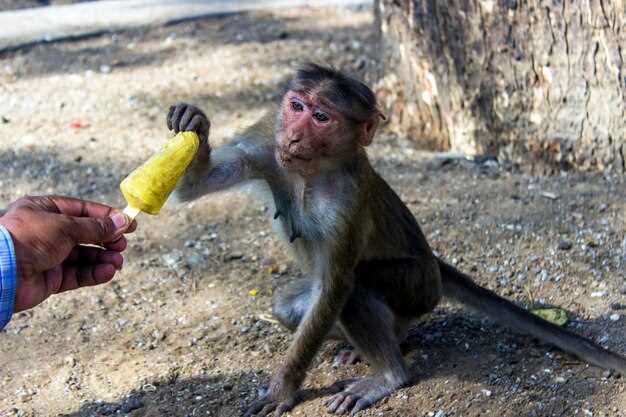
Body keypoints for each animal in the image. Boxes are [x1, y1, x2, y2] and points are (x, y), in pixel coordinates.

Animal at [165, 62, 624, 416]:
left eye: (321, 117)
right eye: (296, 107)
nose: (293, 136)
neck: (311, 173)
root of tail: (434, 263)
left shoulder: (346, 200)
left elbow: (337, 285)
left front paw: (284, 388)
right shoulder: (266, 139)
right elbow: (198, 186)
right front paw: (193, 125)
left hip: (419, 284)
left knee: (357, 289)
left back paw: (389, 373)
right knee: (291, 306)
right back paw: (380, 341)